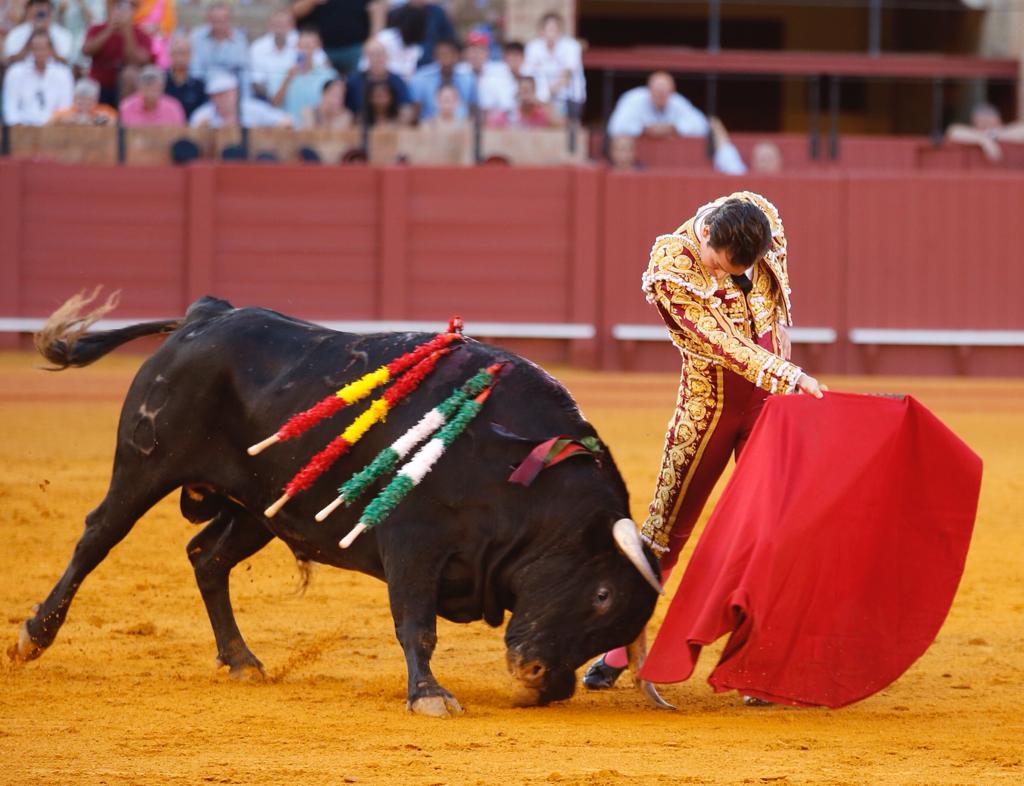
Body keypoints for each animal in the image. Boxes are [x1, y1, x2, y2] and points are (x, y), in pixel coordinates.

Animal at [8, 293, 670, 716]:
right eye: (602, 595)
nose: (543, 684)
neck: (514, 473)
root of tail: (208, 314)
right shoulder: (414, 542)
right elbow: (416, 624)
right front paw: (429, 696)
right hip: (145, 465)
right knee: (97, 537)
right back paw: (33, 637)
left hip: (262, 507)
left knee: (206, 556)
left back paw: (242, 660)